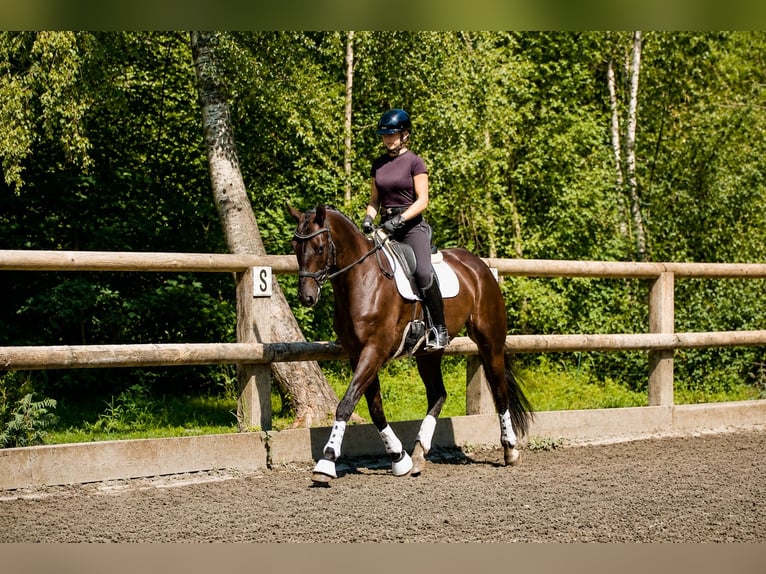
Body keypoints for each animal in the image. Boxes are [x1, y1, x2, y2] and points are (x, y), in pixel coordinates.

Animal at [289, 204, 533, 484]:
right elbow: (375, 407)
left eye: (319, 247)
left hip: (489, 341)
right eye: (295, 246)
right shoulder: (357, 354)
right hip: (428, 353)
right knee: (438, 394)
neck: (362, 279)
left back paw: (510, 449)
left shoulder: (374, 351)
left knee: (499, 389)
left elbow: (347, 403)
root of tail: (479, 265)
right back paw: (419, 452)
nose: (306, 297)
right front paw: (399, 458)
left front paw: (327, 461)